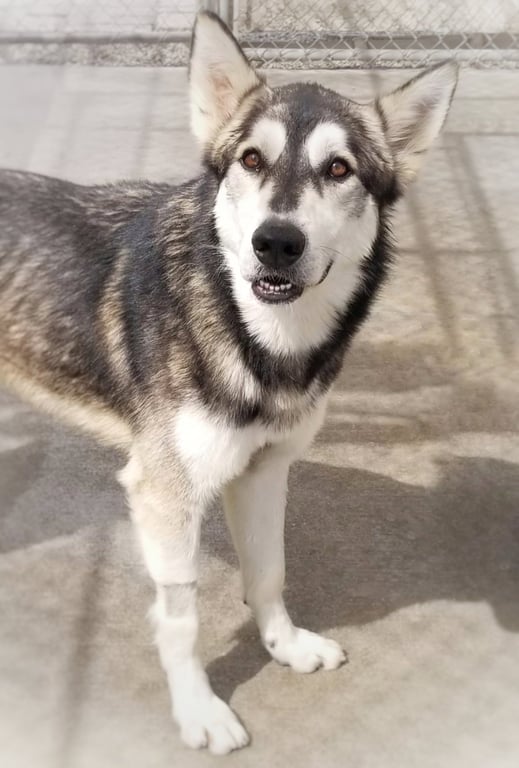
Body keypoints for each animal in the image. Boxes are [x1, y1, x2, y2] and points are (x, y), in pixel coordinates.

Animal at [0, 11, 458, 755]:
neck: (254, 334)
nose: (276, 242)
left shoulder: (265, 471)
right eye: (250, 160)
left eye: (338, 169)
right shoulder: (166, 495)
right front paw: (198, 711)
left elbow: (269, 571)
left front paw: (285, 646)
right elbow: (181, 618)